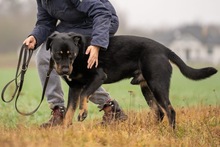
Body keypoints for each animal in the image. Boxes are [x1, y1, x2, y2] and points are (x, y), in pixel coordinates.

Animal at [45, 31, 217, 129]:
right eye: (58, 54)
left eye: (71, 54)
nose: (65, 70)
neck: (81, 53)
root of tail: (164, 49)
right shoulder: (74, 87)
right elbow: (69, 111)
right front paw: (65, 131)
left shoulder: (98, 77)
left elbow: (83, 96)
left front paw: (83, 113)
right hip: (146, 88)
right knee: (159, 112)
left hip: (157, 84)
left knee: (170, 111)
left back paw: (171, 134)